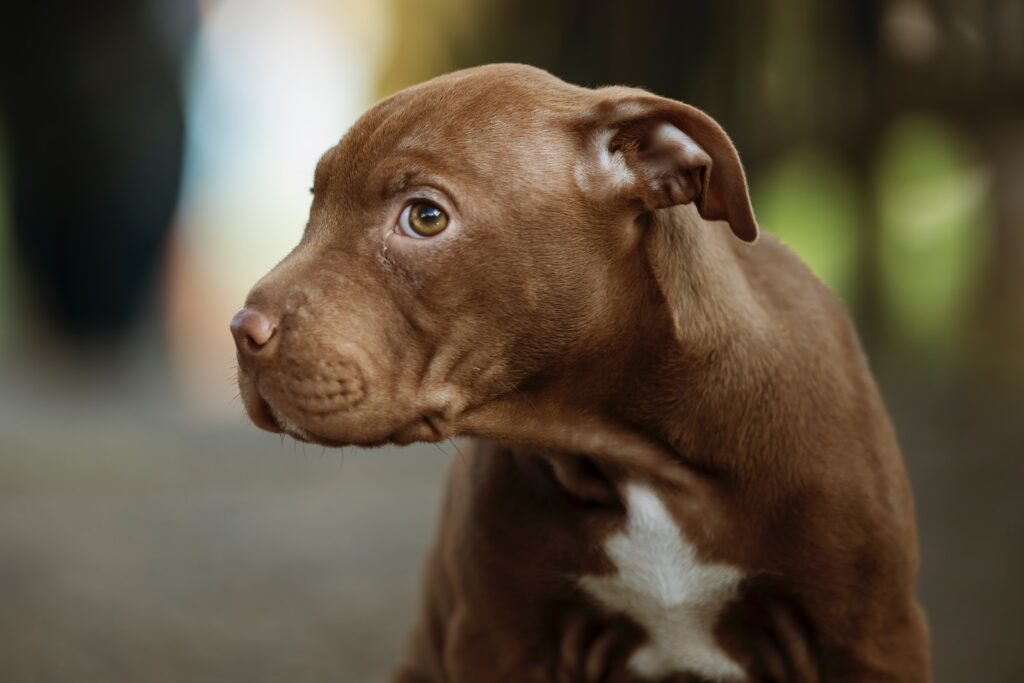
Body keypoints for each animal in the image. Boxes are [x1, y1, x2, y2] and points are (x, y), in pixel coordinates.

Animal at [230, 62, 929, 679]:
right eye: (314, 205)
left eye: (425, 217)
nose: (243, 331)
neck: (637, 456)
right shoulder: (499, 640)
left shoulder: (872, 637)